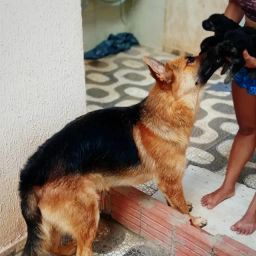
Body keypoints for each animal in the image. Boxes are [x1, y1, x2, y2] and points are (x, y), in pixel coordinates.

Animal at [19, 55, 206, 255]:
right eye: (190, 60)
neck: (167, 109)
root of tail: (28, 177)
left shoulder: (168, 183)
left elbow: (175, 205)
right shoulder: (171, 182)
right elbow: (183, 212)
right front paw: (195, 222)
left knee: (54, 247)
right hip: (89, 212)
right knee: (81, 250)